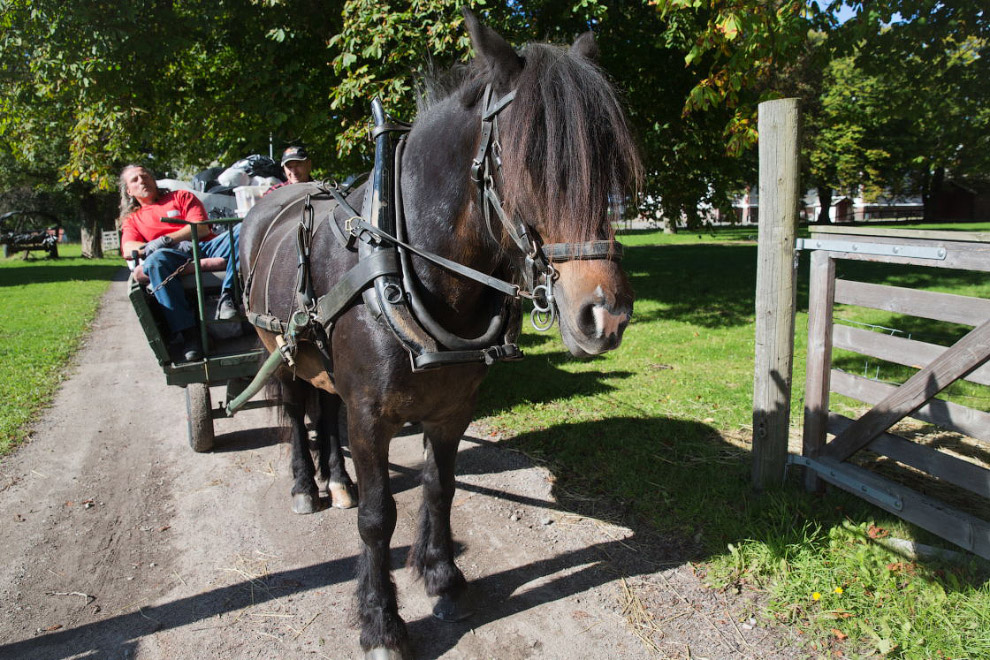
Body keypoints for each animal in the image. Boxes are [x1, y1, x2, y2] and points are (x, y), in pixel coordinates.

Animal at [238, 10, 644, 660]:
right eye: (528, 160)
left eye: (608, 161)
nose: (604, 316)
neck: (407, 264)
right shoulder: (371, 414)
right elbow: (379, 517)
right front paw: (381, 622)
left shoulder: (453, 408)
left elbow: (440, 487)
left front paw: (442, 577)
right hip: (277, 349)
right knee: (298, 413)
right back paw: (307, 485)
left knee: (324, 411)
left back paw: (336, 479)